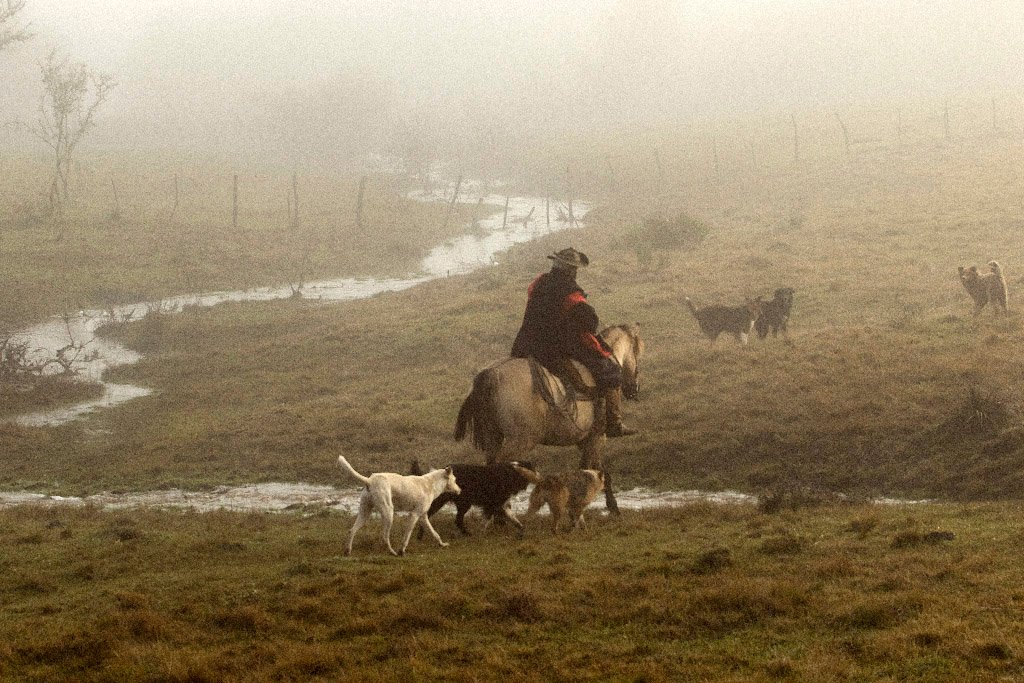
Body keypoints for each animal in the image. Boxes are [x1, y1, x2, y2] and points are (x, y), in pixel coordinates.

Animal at [409, 462, 544, 536]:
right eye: (533, 469)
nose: (540, 476)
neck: (512, 472)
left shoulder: (500, 504)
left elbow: (513, 518)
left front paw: (521, 530)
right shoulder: (494, 504)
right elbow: (487, 520)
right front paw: (481, 532)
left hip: (461, 503)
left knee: (456, 520)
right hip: (452, 502)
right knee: (434, 516)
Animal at [454, 325, 643, 475]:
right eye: (636, 353)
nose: (634, 388)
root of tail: (491, 374)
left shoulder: (585, 442)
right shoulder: (595, 439)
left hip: (493, 437)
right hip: (521, 440)